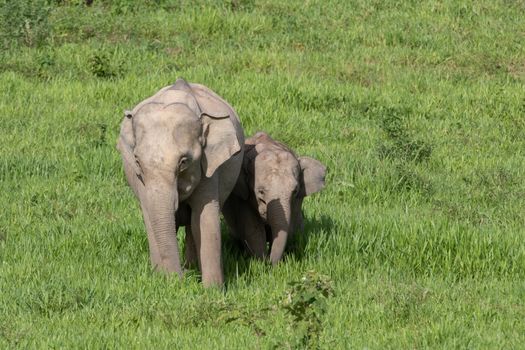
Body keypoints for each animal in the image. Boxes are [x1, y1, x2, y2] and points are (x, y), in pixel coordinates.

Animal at [116, 79, 244, 288]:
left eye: (184, 161)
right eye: (137, 161)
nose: (181, 280)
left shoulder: (210, 167)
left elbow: (205, 218)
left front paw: (212, 290)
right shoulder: (141, 180)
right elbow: (151, 219)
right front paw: (162, 281)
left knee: (192, 225)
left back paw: (191, 267)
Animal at [222, 133, 328, 264]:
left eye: (295, 191)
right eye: (260, 192)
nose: (270, 262)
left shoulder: (296, 202)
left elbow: (288, 227)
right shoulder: (243, 197)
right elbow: (254, 231)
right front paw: (260, 263)